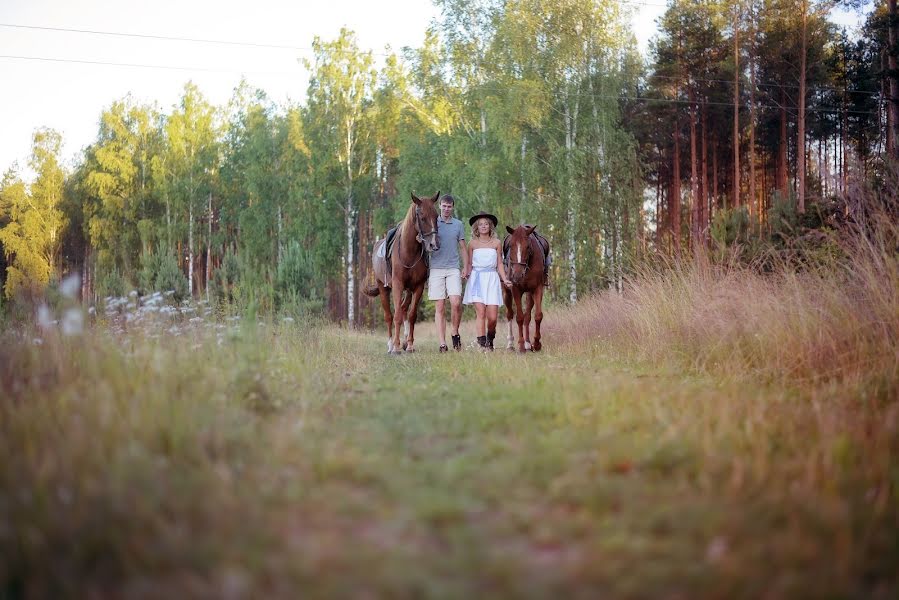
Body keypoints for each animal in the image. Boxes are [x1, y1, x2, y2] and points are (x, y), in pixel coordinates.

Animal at [362, 191, 440, 352]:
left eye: (436, 216)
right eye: (422, 217)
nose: (433, 244)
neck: (408, 251)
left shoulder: (418, 286)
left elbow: (412, 315)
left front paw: (409, 345)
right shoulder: (397, 285)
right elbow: (396, 314)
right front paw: (396, 347)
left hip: (408, 290)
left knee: (404, 309)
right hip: (383, 287)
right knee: (389, 315)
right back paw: (390, 344)